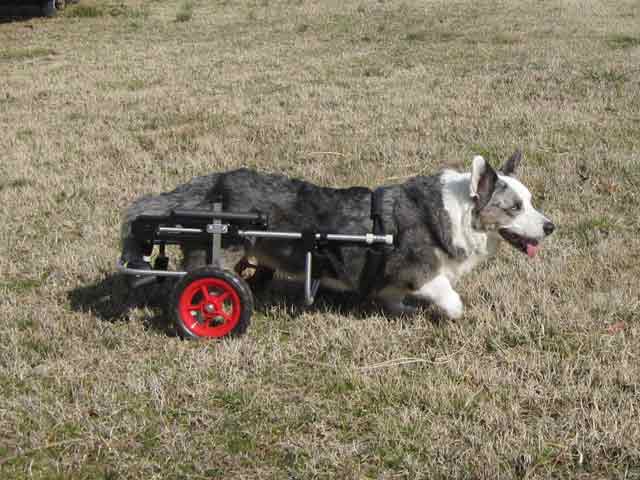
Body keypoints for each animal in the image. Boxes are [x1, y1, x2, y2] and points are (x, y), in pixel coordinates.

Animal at [121, 152, 556, 318]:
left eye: (531, 201)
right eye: (515, 207)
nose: (551, 226)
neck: (457, 212)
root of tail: (207, 186)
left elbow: (393, 297)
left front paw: (400, 310)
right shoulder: (422, 272)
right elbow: (452, 300)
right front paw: (450, 313)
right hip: (215, 259)